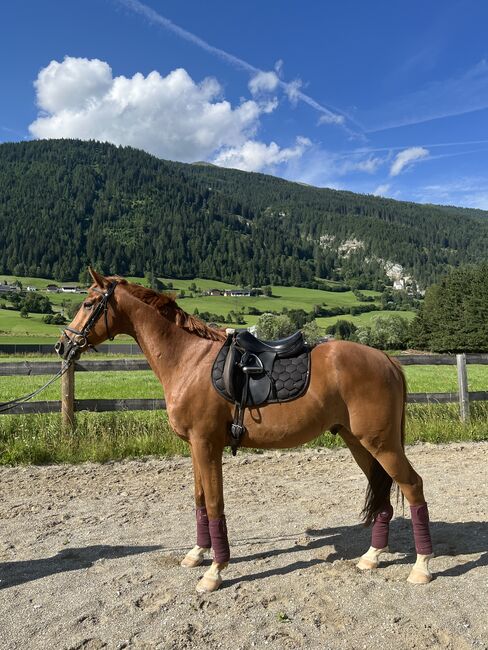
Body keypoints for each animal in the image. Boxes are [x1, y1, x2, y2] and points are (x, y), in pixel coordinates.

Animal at [57, 270, 434, 592]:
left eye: (88, 304)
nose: (63, 345)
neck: (190, 360)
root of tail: (387, 360)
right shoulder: (195, 447)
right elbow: (199, 500)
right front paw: (197, 553)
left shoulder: (206, 444)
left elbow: (214, 504)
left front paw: (215, 571)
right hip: (359, 442)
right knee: (382, 489)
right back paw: (372, 556)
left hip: (381, 443)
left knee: (413, 486)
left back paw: (422, 566)